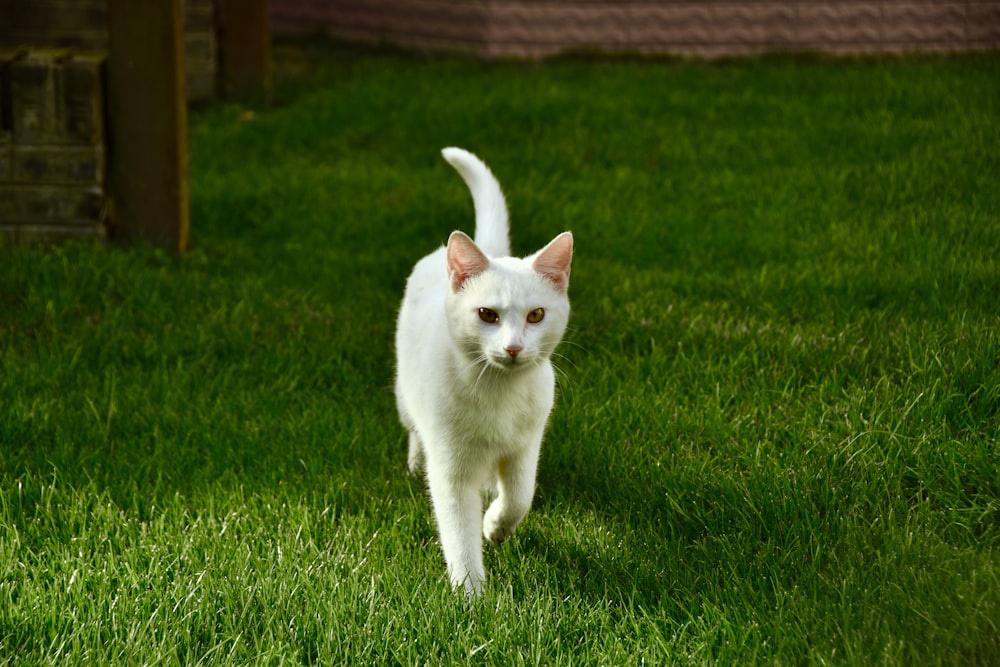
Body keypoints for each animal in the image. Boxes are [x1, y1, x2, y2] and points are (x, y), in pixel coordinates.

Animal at [394, 149, 576, 596]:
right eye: (487, 314)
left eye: (536, 315)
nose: (513, 347)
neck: (499, 393)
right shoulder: (451, 470)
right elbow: (459, 533)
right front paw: (470, 596)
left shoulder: (527, 444)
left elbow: (520, 496)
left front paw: (496, 526)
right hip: (405, 396)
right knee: (413, 429)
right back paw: (414, 461)